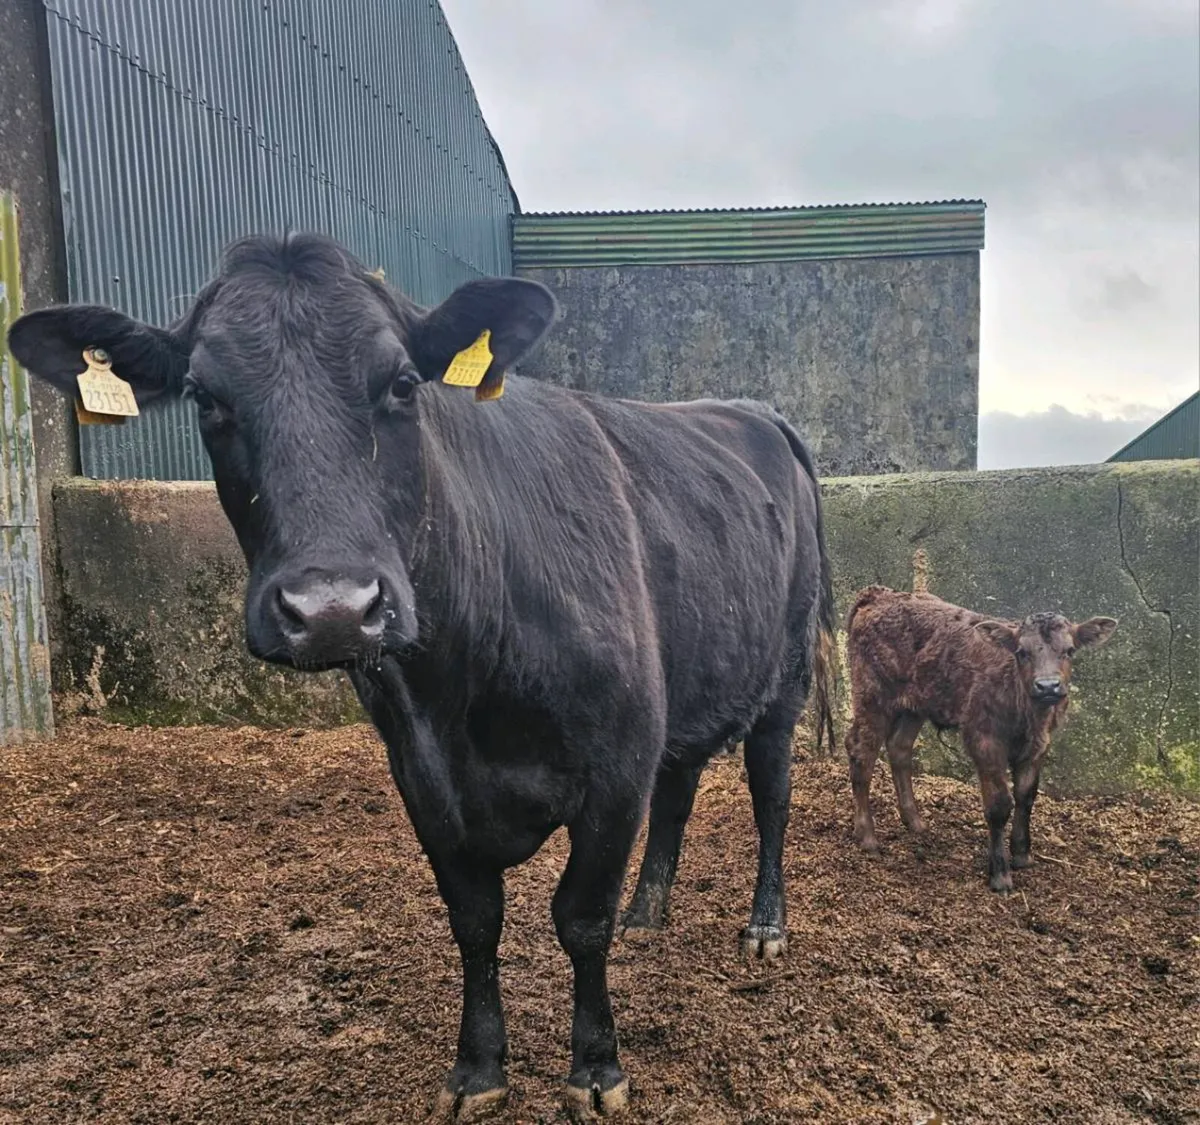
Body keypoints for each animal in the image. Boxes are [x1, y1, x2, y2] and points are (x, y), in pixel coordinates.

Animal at [8, 232, 836, 1120]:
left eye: (403, 382)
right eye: (203, 396)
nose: (333, 607)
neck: (464, 693)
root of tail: (752, 409)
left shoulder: (614, 766)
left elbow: (580, 917)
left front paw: (596, 1066)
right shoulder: (422, 777)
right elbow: (474, 920)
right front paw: (478, 1066)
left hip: (784, 683)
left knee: (772, 797)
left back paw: (764, 925)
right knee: (679, 787)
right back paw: (648, 912)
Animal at [842, 586, 1116, 893]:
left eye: (1069, 650)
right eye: (1021, 652)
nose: (1048, 686)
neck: (1027, 712)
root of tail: (879, 594)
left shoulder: (1039, 745)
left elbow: (1026, 796)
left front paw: (1022, 855)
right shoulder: (985, 739)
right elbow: (999, 805)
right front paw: (1000, 874)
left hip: (915, 704)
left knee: (899, 747)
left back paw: (915, 822)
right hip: (872, 696)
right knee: (861, 752)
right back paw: (867, 836)